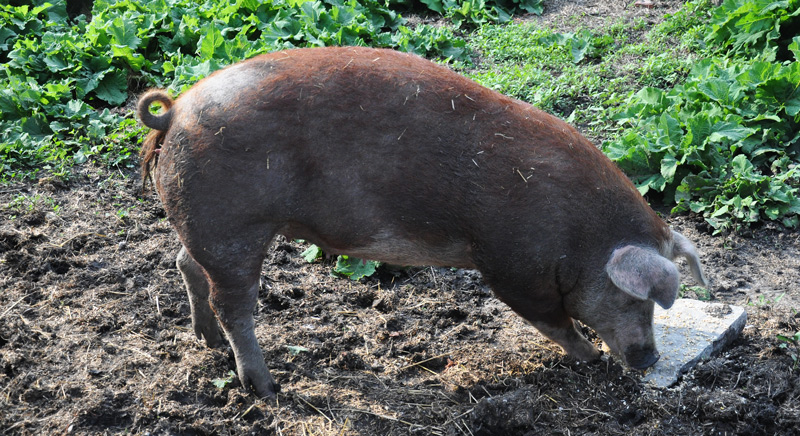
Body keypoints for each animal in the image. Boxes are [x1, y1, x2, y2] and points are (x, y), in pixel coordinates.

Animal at [137, 46, 707, 398]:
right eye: (632, 299)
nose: (649, 360)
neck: (580, 235)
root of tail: (176, 110)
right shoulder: (511, 267)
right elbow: (552, 320)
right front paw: (590, 358)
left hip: (207, 227)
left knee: (185, 263)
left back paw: (207, 342)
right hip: (233, 228)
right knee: (233, 304)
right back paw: (266, 387)